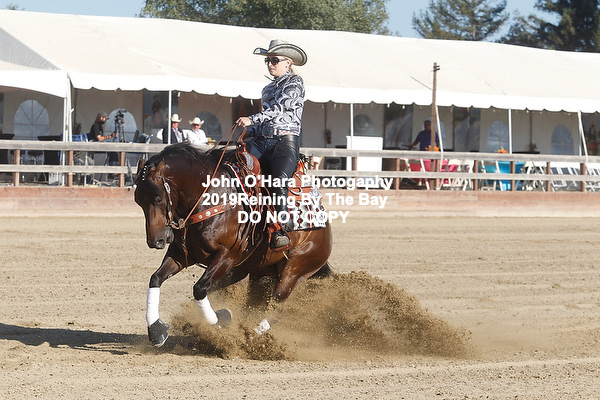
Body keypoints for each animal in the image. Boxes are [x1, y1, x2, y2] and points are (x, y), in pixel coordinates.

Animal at [134, 142, 333, 347]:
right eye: (137, 200)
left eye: (158, 198)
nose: (156, 241)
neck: (210, 198)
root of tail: (325, 229)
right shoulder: (181, 254)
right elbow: (156, 278)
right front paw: (156, 331)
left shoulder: (226, 256)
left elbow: (199, 289)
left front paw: (221, 320)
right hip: (254, 272)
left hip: (294, 270)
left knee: (276, 305)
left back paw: (250, 338)